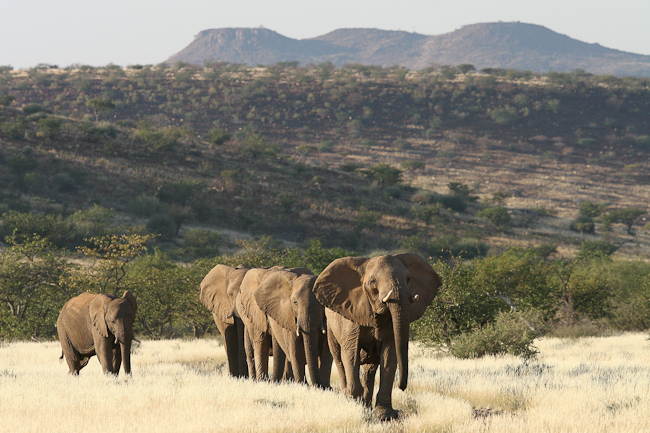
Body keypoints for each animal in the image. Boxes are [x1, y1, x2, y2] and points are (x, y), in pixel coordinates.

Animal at [313, 253, 441, 421]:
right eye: (373, 282)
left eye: (408, 279)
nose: (402, 386)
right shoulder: (351, 315)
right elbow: (350, 353)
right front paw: (354, 407)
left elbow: (389, 355)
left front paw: (385, 415)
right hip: (331, 328)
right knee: (339, 360)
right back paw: (349, 399)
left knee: (369, 369)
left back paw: (366, 406)